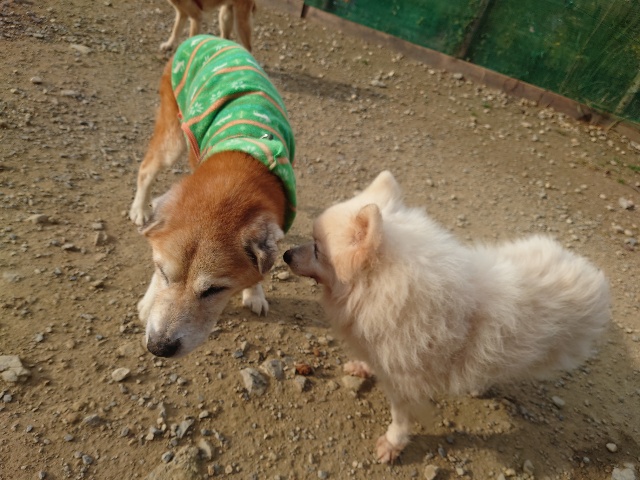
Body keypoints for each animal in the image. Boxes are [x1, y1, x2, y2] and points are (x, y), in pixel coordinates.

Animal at [129, 35, 296, 358]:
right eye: (164, 273)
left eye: (214, 290)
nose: (159, 347)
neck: (240, 169)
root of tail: (204, 37)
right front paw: (148, 301)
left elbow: (262, 268)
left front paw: (254, 293)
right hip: (173, 139)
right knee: (146, 169)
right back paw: (140, 208)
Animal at [283, 170, 610, 463]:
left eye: (317, 248)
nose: (285, 254)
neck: (384, 288)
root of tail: (592, 273)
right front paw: (363, 366)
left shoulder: (405, 383)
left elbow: (400, 419)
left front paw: (392, 444)